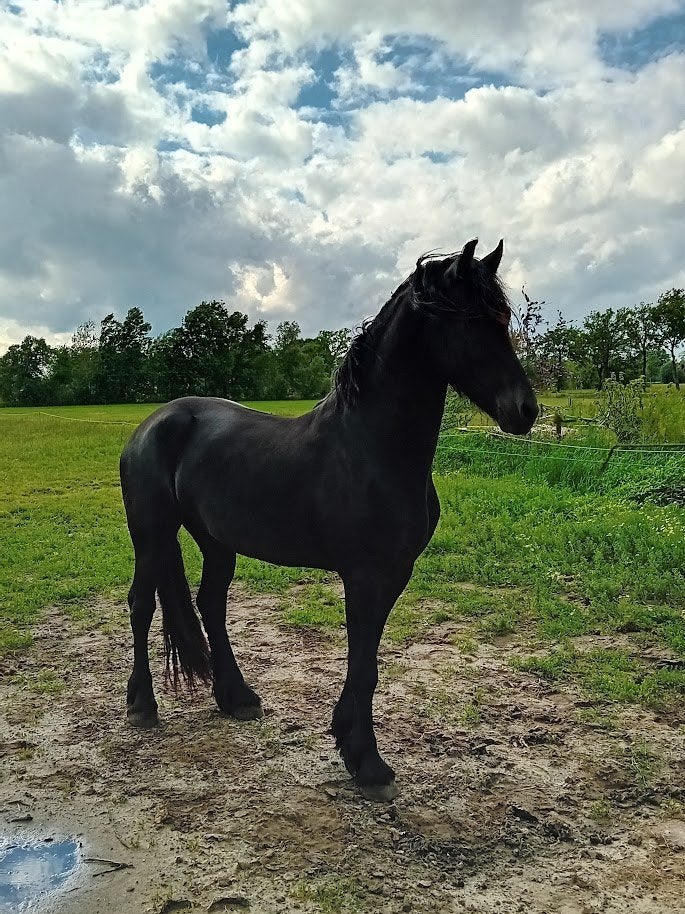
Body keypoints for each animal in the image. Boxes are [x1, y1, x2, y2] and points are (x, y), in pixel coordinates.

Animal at [119, 238, 538, 802]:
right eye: (469, 320)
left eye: (503, 317)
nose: (526, 410)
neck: (370, 447)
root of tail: (152, 424)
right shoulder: (362, 576)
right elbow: (363, 664)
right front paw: (367, 763)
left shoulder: (393, 575)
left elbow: (368, 663)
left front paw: (354, 748)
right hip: (151, 534)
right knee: (142, 606)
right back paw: (142, 705)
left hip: (216, 541)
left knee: (211, 605)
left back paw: (237, 697)